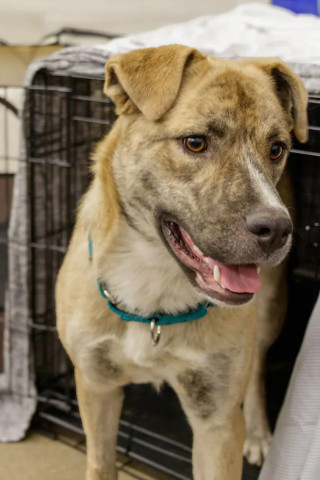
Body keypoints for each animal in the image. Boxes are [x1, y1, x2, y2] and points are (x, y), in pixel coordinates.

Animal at [55, 46, 308, 480]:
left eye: (276, 148)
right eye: (195, 143)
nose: (277, 228)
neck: (153, 282)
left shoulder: (216, 421)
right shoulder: (95, 387)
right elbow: (101, 462)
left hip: (271, 307)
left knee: (257, 366)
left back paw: (259, 431)